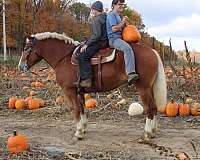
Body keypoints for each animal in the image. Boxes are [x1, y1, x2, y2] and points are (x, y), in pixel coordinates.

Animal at [18, 32, 167, 140]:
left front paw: (78, 132)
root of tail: (152, 51)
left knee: (150, 108)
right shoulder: (79, 91)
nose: (20, 66)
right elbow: (82, 108)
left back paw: (147, 133)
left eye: (26, 48)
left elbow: (75, 109)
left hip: (143, 88)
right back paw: (152, 132)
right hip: (149, 88)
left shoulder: (69, 91)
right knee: (154, 108)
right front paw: (83, 128)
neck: (64, 58)